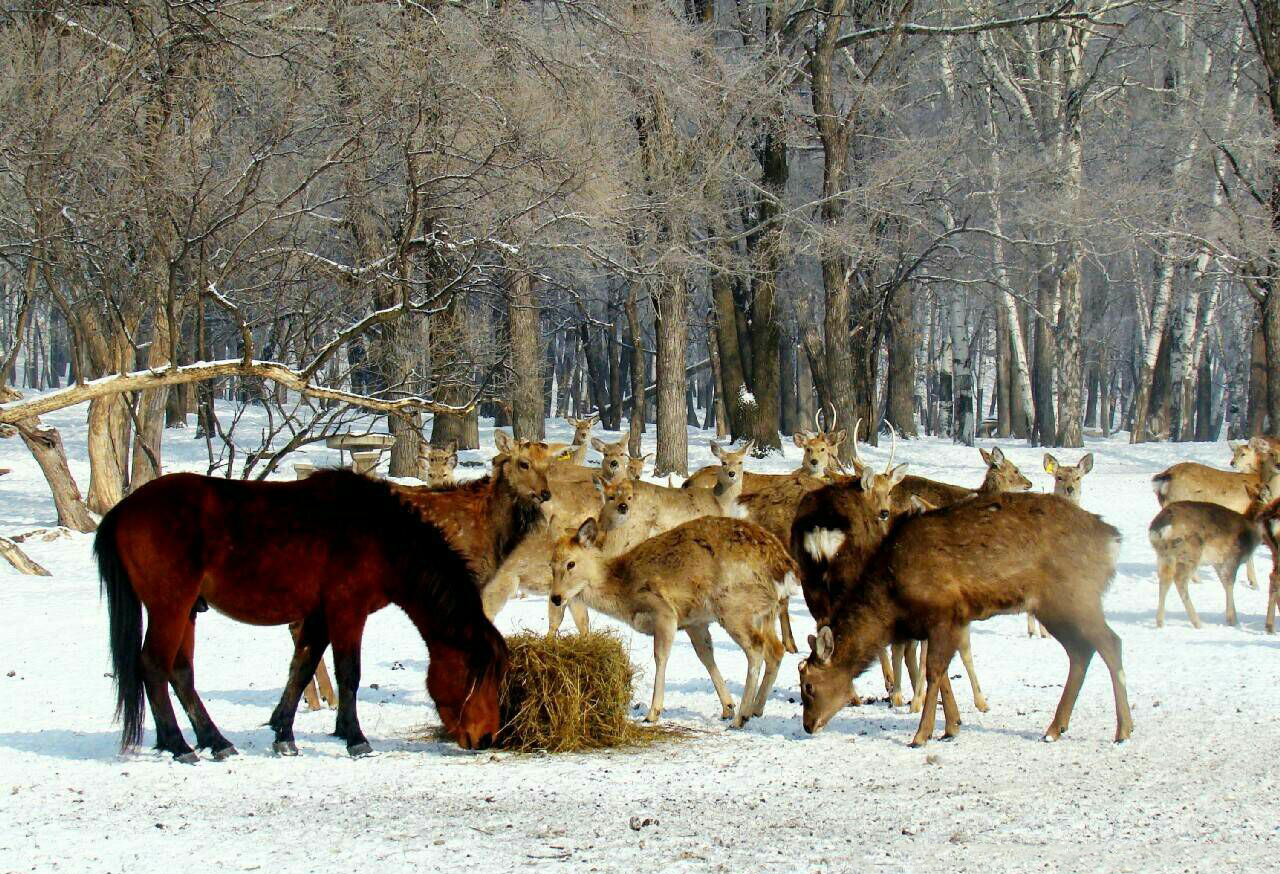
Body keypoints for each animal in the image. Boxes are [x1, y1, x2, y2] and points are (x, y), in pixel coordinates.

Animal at [550, 515, 797, 728]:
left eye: (571, 564)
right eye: (551, 565)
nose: (555, 597)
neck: (624, 591)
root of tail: (783, 566)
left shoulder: (665, 612)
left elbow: (661, 656)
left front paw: (653, 713)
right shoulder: (694, 622)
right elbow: (706, 656)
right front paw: (727, 706)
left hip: (733, 606)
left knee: (756, 647)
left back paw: (742, 717)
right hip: (766, 611)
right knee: (775, 650)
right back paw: (756, 709)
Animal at [798, 492, 1132, 747]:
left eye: (809, 686)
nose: (808, 726)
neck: (891, 603)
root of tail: (1112, 540)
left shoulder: (944, 611)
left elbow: (933, 671)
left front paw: (921, 735)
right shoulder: (952, 620)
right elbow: (944, 672)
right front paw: (952, 726)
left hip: (1075, 597)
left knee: (1111, 643)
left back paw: (1123, 730)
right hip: (1054, 608)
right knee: (1081, 651)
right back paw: (1055, 729)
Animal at [1148, 484, 1269, 629]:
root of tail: (1160, 529)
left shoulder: (1218, 562)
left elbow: (1224, 584)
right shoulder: (1233, 556)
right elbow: (1230, 584)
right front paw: (1233, 620)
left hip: (1164, 554)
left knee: (1164, 580)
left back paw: (1160, 622)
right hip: (1190, 552)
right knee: (1180, 580)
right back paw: (1197, 623)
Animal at [1151, 437, 1276, 590]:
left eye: (1243, 453)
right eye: (1236, 453)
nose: (1232, 463)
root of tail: (1164, 478)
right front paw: (1254, 583)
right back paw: (1195, 579)